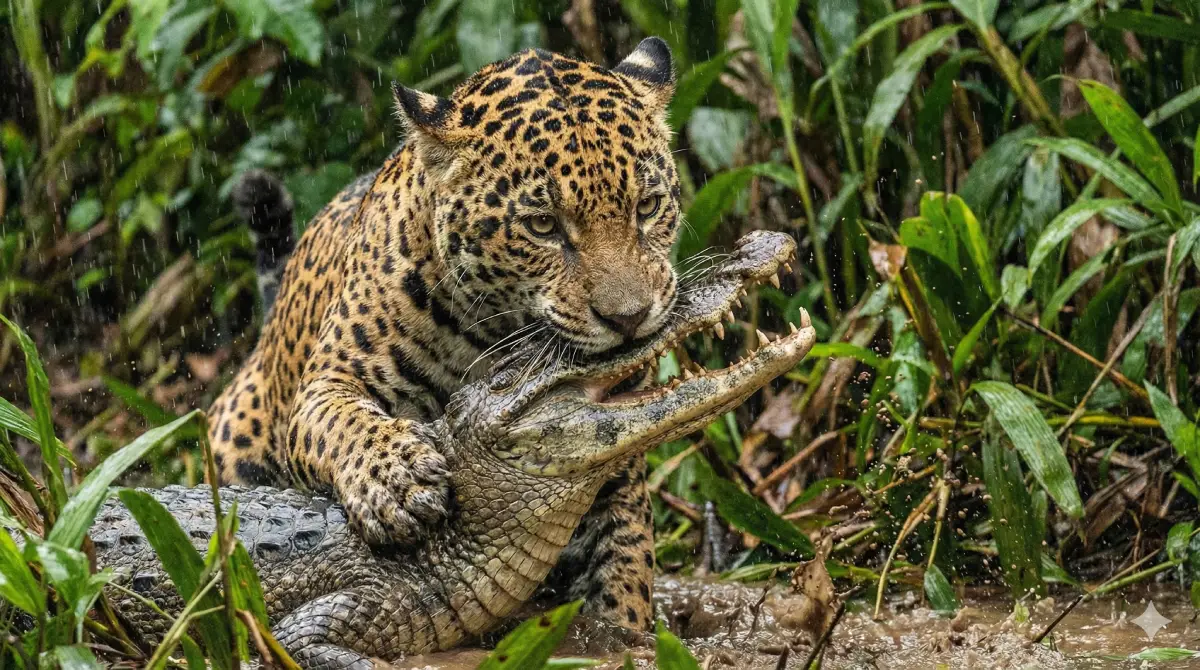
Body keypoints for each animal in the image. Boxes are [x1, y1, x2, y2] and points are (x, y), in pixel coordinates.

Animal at [207, 38, 683, 631]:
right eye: (543, 226)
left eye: (648, 206)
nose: (629, 319)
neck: (500, 329)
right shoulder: (326, 382)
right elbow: (341, 422)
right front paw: (396, 480)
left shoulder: (611, 446)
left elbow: (623, 569)